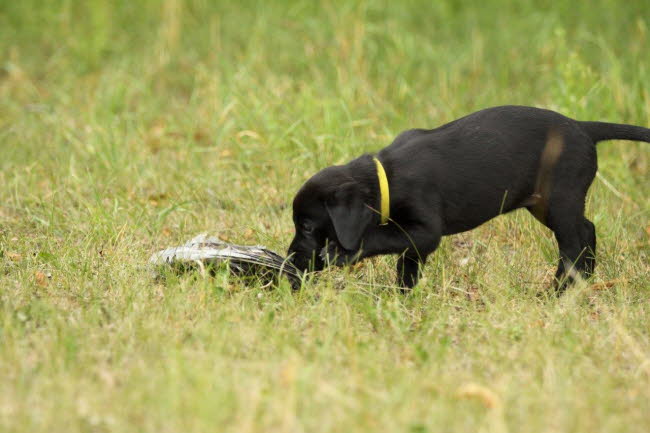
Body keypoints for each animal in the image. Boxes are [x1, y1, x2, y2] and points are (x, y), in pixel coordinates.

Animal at [288, 105, 648, 292]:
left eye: (306, 227)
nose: (291, 259)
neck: (385, 176)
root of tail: (584, 128)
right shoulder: (415, 240)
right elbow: (407, 264)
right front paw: (402, 298)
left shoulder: (425, 229)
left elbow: (378, 238)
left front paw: (340, 253)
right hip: (544, 203)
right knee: (587, 230)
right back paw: (582, 282)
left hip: (561, 199)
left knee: (575, 241)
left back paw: (557, 292)